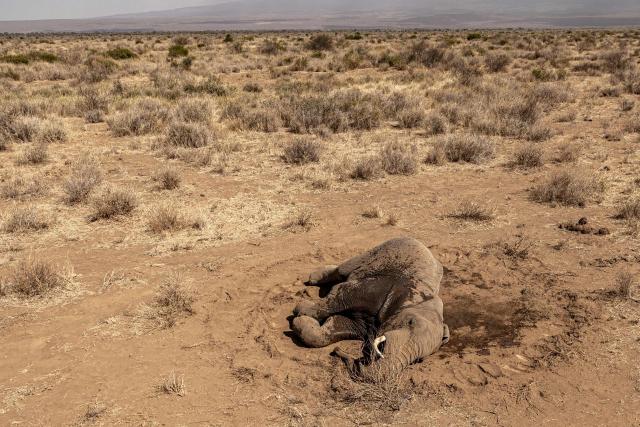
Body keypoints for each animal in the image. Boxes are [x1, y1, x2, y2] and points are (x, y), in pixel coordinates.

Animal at [290, 237, 449, 379]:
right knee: (341, 270)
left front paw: (303, 321)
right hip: (377, 250)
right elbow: (340, 293)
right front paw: (300, 311)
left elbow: (338, 326)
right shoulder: (380, 288)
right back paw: (313, 277)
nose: (337, 350)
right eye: (410, 322)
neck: (420, 297)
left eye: (419, 360)